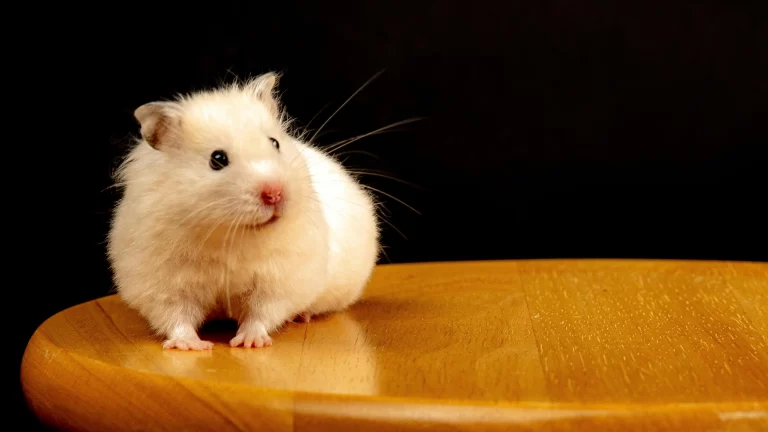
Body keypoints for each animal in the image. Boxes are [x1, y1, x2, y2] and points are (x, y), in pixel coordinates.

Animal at [107, 72, 380, 350]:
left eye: (275, 143)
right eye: (217, 159)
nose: (275, 193)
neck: (230, 235)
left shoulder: (278, 280)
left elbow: (261, 313)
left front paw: (249, 342)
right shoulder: (162, 284)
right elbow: (175, 316)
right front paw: (192, 345)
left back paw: (303, 315)